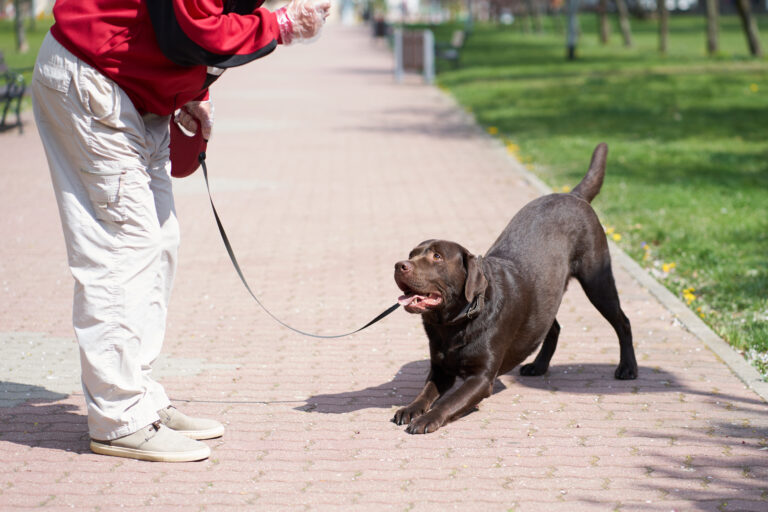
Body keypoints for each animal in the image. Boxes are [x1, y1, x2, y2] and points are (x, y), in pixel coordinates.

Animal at [392, 143, 640, 432]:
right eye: (412, 253)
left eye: (437, 257)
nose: (400, 265)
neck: (454, 323)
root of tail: (573, 195)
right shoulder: (440, 369)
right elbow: (425, 392)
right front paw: (410, 409)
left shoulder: (481, 378)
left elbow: (448, 402)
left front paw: (427, 419)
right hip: (545, 296)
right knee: (553, 327)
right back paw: (538, 366)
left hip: (597, 280)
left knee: (622, 322)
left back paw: (628, 368)